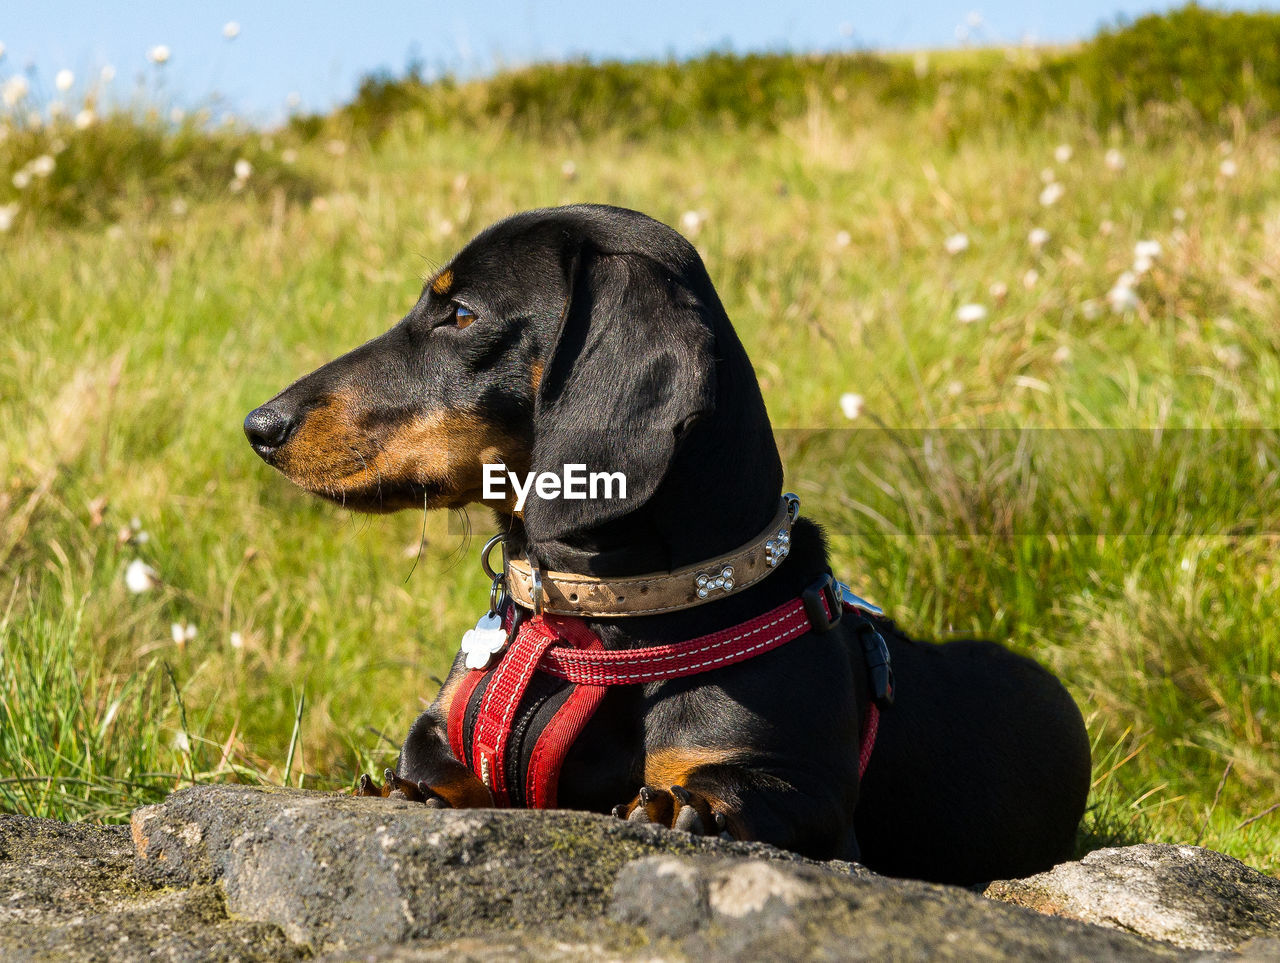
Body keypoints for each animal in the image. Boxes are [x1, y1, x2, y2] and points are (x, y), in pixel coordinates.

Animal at [247, 204, 1090, 886]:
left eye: (458, 312)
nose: (259, 424)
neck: (590, 619)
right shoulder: (438, 736)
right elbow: (438, 771)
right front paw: (411, 792)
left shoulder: (801, 788)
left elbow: (733, 790)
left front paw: (686, 809)